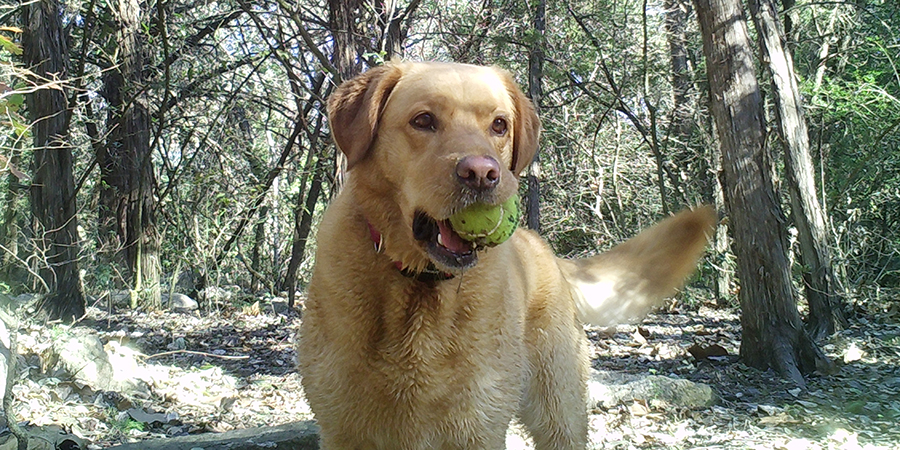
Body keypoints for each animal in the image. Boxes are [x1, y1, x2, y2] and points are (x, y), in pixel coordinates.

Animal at [298, 61, 712, 448]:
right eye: (423, 120)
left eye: (499, 125)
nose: (482, 174)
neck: (421, 290)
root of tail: (542, 247)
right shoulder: (342, 430)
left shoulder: (478, 428)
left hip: (559, 408)